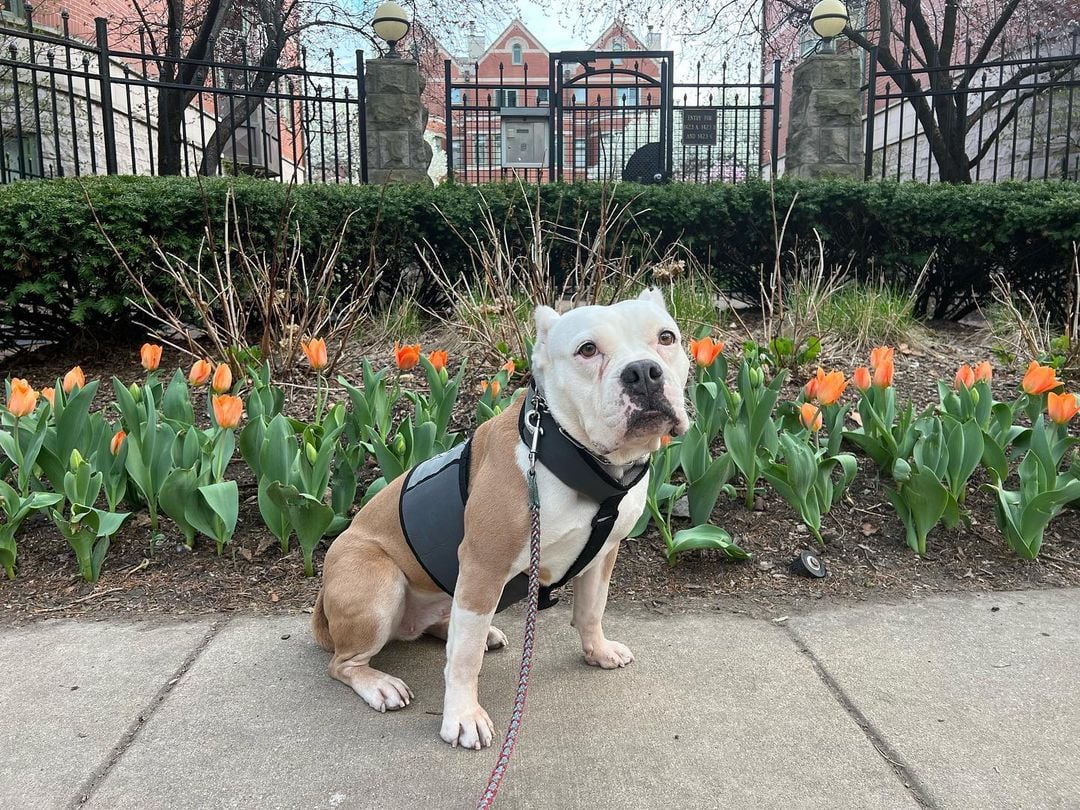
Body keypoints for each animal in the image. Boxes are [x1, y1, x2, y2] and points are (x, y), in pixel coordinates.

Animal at [311, 289, 691, 751]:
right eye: (587, 350)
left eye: (666, 337)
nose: (643, 372)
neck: (579, 456)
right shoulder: (483, 566)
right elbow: (464, 659)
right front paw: (462, 716)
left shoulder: (604, 553)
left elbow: (591, 609)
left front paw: (597, 651)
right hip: (379, 583)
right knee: (344, 663)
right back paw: (378, 683)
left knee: (444, 628)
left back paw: (475, 632)